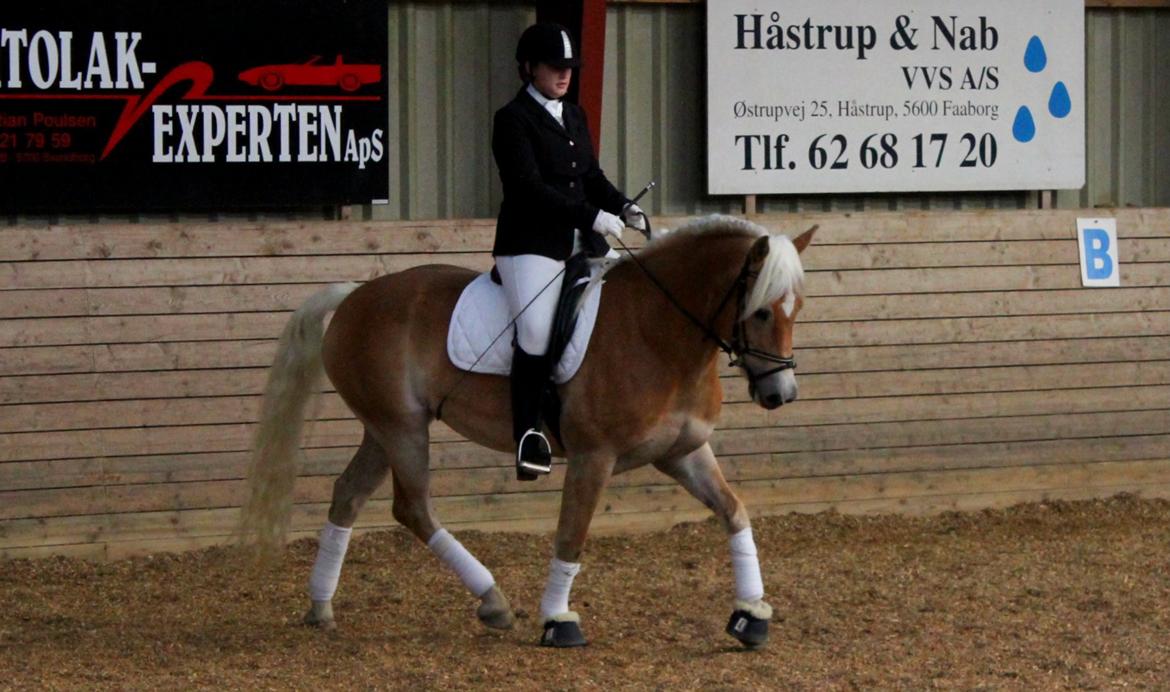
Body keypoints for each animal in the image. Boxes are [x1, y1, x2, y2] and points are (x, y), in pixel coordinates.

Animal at [239, 215, 814, 651]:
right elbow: (572, 535)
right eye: (762, 312)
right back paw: (492, 600)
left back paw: (321, 606)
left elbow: (735, 511)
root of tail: (355, 296)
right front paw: (559, 621)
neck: (657, 331)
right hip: (401, 428)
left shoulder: (683, 451)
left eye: (797, 309)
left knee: (349, 494)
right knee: (412, 507)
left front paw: (751, 613)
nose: (780, 394)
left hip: (383, 429)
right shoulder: (593, 456)